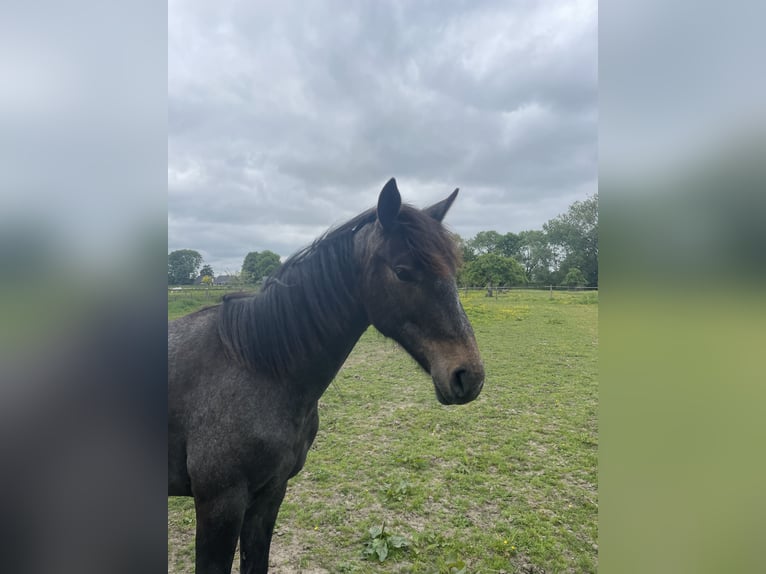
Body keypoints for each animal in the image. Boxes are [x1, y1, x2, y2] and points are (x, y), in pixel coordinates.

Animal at [169, 178, 486, 572]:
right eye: (403, 271)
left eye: (453, 272)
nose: (468, 375)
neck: (257, 369)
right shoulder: (220, 505)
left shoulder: (270, 495)